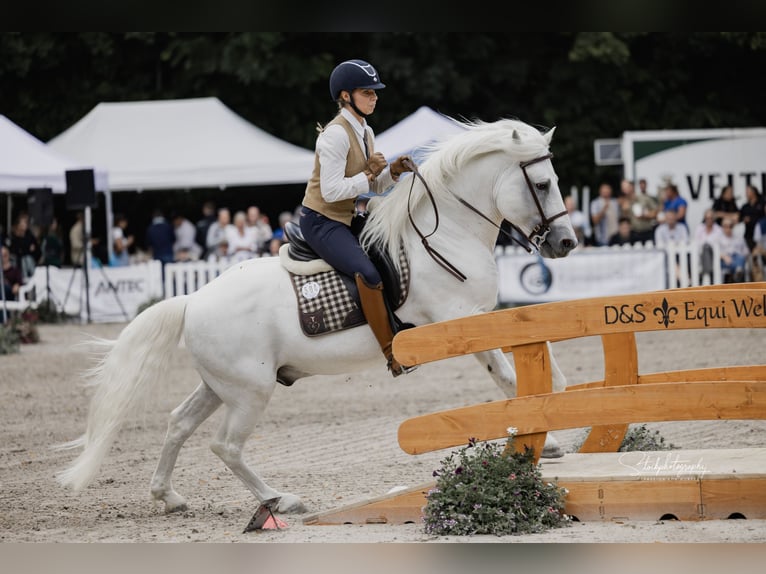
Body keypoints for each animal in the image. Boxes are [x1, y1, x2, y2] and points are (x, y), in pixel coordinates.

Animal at [55, 117, 578, 515]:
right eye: (544, 184)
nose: (566, 242)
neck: (445, 233)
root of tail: (192, 300)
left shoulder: (485, 315)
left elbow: (543, 355)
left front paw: (556, 411)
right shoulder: (457, 322)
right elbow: (507, 376)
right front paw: (548, 439)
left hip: (220, 385)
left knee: (179, 424)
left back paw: (168, 496)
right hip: (250, 391)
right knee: (226, 446)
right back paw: (279, 499)